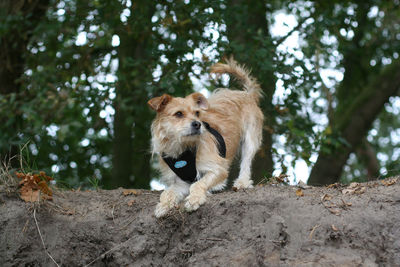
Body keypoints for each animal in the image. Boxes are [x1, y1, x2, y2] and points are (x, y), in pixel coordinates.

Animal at [147, 57, 262, 218]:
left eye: (197, 113)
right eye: (178, 114)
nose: (197, 124)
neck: (183, 148)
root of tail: (246, 93)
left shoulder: (218, 169)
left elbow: (198, 183)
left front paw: (194, 199)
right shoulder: (180, 182)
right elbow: (168, 193)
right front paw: (164, 205)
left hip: (250, 139)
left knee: (246, 162)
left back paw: (242, 182)